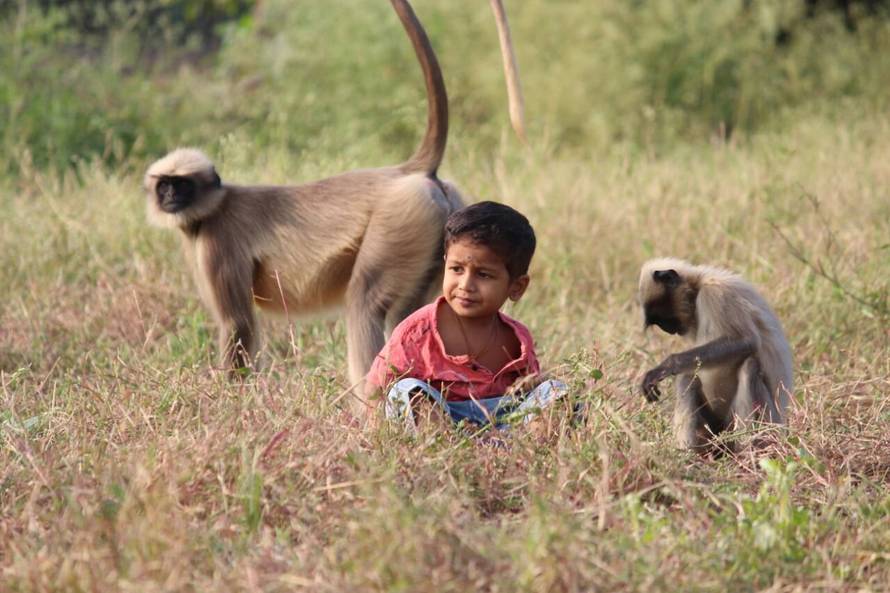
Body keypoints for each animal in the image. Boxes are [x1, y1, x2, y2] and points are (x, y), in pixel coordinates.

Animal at [143, 0, 467, 402]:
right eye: (164, 186)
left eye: (182, 186)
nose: (171, 197)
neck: (216, 205)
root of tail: (406, 171)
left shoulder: (218, 242)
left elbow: (237, 325)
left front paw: (231, 401)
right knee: (411, 316)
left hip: (401, 218)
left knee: (365, 303)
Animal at [637, 258, 793, 451]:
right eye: (661, 323)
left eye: (665, 319)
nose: (668, 329)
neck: (698, 284)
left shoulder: (716, 293)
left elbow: (746, 341)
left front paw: (666, 366)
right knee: (687, 379)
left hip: (766, 422)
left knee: (749, 366)